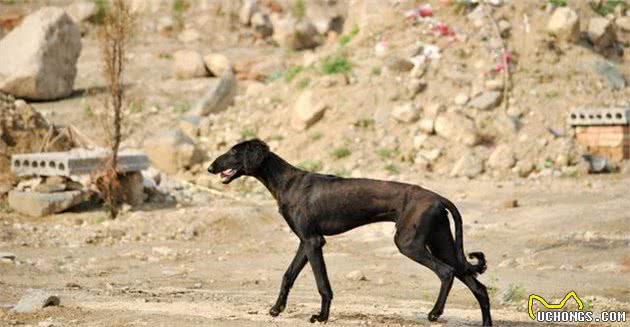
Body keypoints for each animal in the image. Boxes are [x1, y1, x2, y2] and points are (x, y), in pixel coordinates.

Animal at [209, 140, 494, 326]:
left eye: (233, 151)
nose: (210, 168)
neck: (286, 182)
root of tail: (438, 197)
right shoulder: (305, 242)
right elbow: (288, 276)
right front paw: (277, 309)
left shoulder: (314, 242)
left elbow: (322, 284)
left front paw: (321, 317)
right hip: (442, 243)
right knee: (477, 286)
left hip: (409, 243)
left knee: (446, 273)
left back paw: (434, 313)